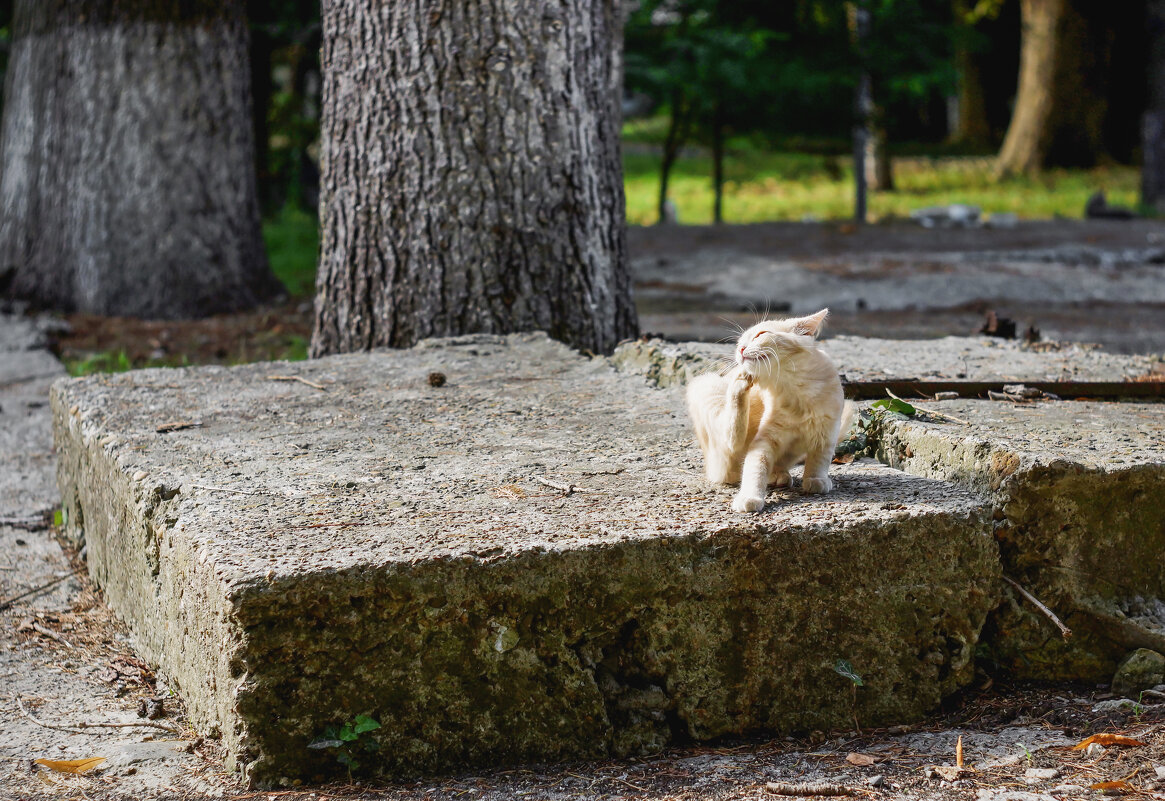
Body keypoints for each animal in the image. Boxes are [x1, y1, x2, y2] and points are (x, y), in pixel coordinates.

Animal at [685, 307, 852, 512]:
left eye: (760, 334)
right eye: (740, 342)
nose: (740, 349)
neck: (795, 388)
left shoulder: (827, 431)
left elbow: (820, 458)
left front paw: (815, 479)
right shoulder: (764, 441)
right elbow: (756, 467)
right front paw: (749, 497)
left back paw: (778, 476)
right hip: (708, 386)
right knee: (732, 439)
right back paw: (740, 381)